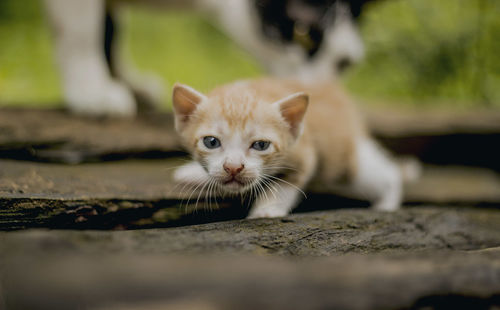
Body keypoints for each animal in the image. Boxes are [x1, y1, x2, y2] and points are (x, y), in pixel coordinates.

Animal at [45, 0, 376, 116]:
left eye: (345, 64)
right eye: (302, 32)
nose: (324, 98)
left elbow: (113, 26)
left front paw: (126, 82)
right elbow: (84, 28)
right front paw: (91, 92)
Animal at [172, 77, 402, 218]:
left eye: (261, 145)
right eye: (211, 142)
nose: (234, 168)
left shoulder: (304, 153)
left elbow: (284, 185)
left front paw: (266, 210)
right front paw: (195, 172)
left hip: (344, 165)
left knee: (385, 174)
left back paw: (388, 203)